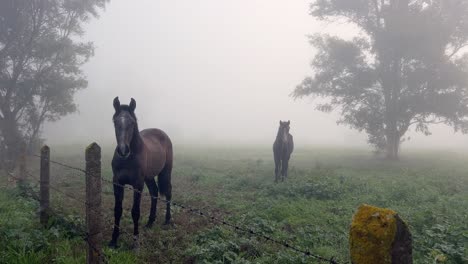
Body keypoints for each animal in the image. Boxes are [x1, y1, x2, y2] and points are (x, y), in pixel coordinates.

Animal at [109, 97, 174, 250]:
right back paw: (150, 222)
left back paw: (167, 220)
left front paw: (135, 242)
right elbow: (117, 210)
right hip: (149, 178)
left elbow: (135, 212)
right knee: (154, 193)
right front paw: (113, 240)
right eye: (115, 122)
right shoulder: (117, 183)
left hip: (166, 171)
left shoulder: (137, 185)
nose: (123, 151)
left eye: (132, 122)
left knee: (168, 192)